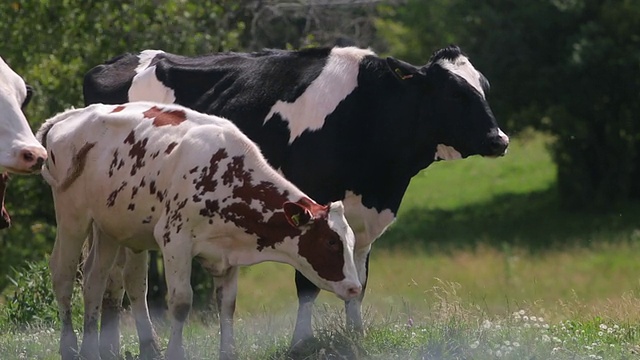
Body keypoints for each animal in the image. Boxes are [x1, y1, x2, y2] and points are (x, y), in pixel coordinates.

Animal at [37, 101, 362, 360]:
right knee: (63, 275)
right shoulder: (175, 240)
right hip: (72, 218)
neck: (226, 174)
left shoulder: (228, 254)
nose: (355, 288)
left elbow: (227, 305)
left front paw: (228, 353)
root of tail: (74, 114)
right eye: (331, 242)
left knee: (95, 280)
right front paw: (174, 353)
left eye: (350, 242)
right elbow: (181, 302)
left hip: (108, 229)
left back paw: (91, 349)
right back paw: (69, 347)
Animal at [84, 43, 510, 348]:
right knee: (123, 278)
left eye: (484, 87)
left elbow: (357, 284)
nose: (499, 139)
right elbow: (307, 284)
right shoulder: (309, 212)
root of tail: (114, 62)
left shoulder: (362, 224)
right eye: (454, 94)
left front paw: (355, 338)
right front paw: (301, 344)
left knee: (123, 279)